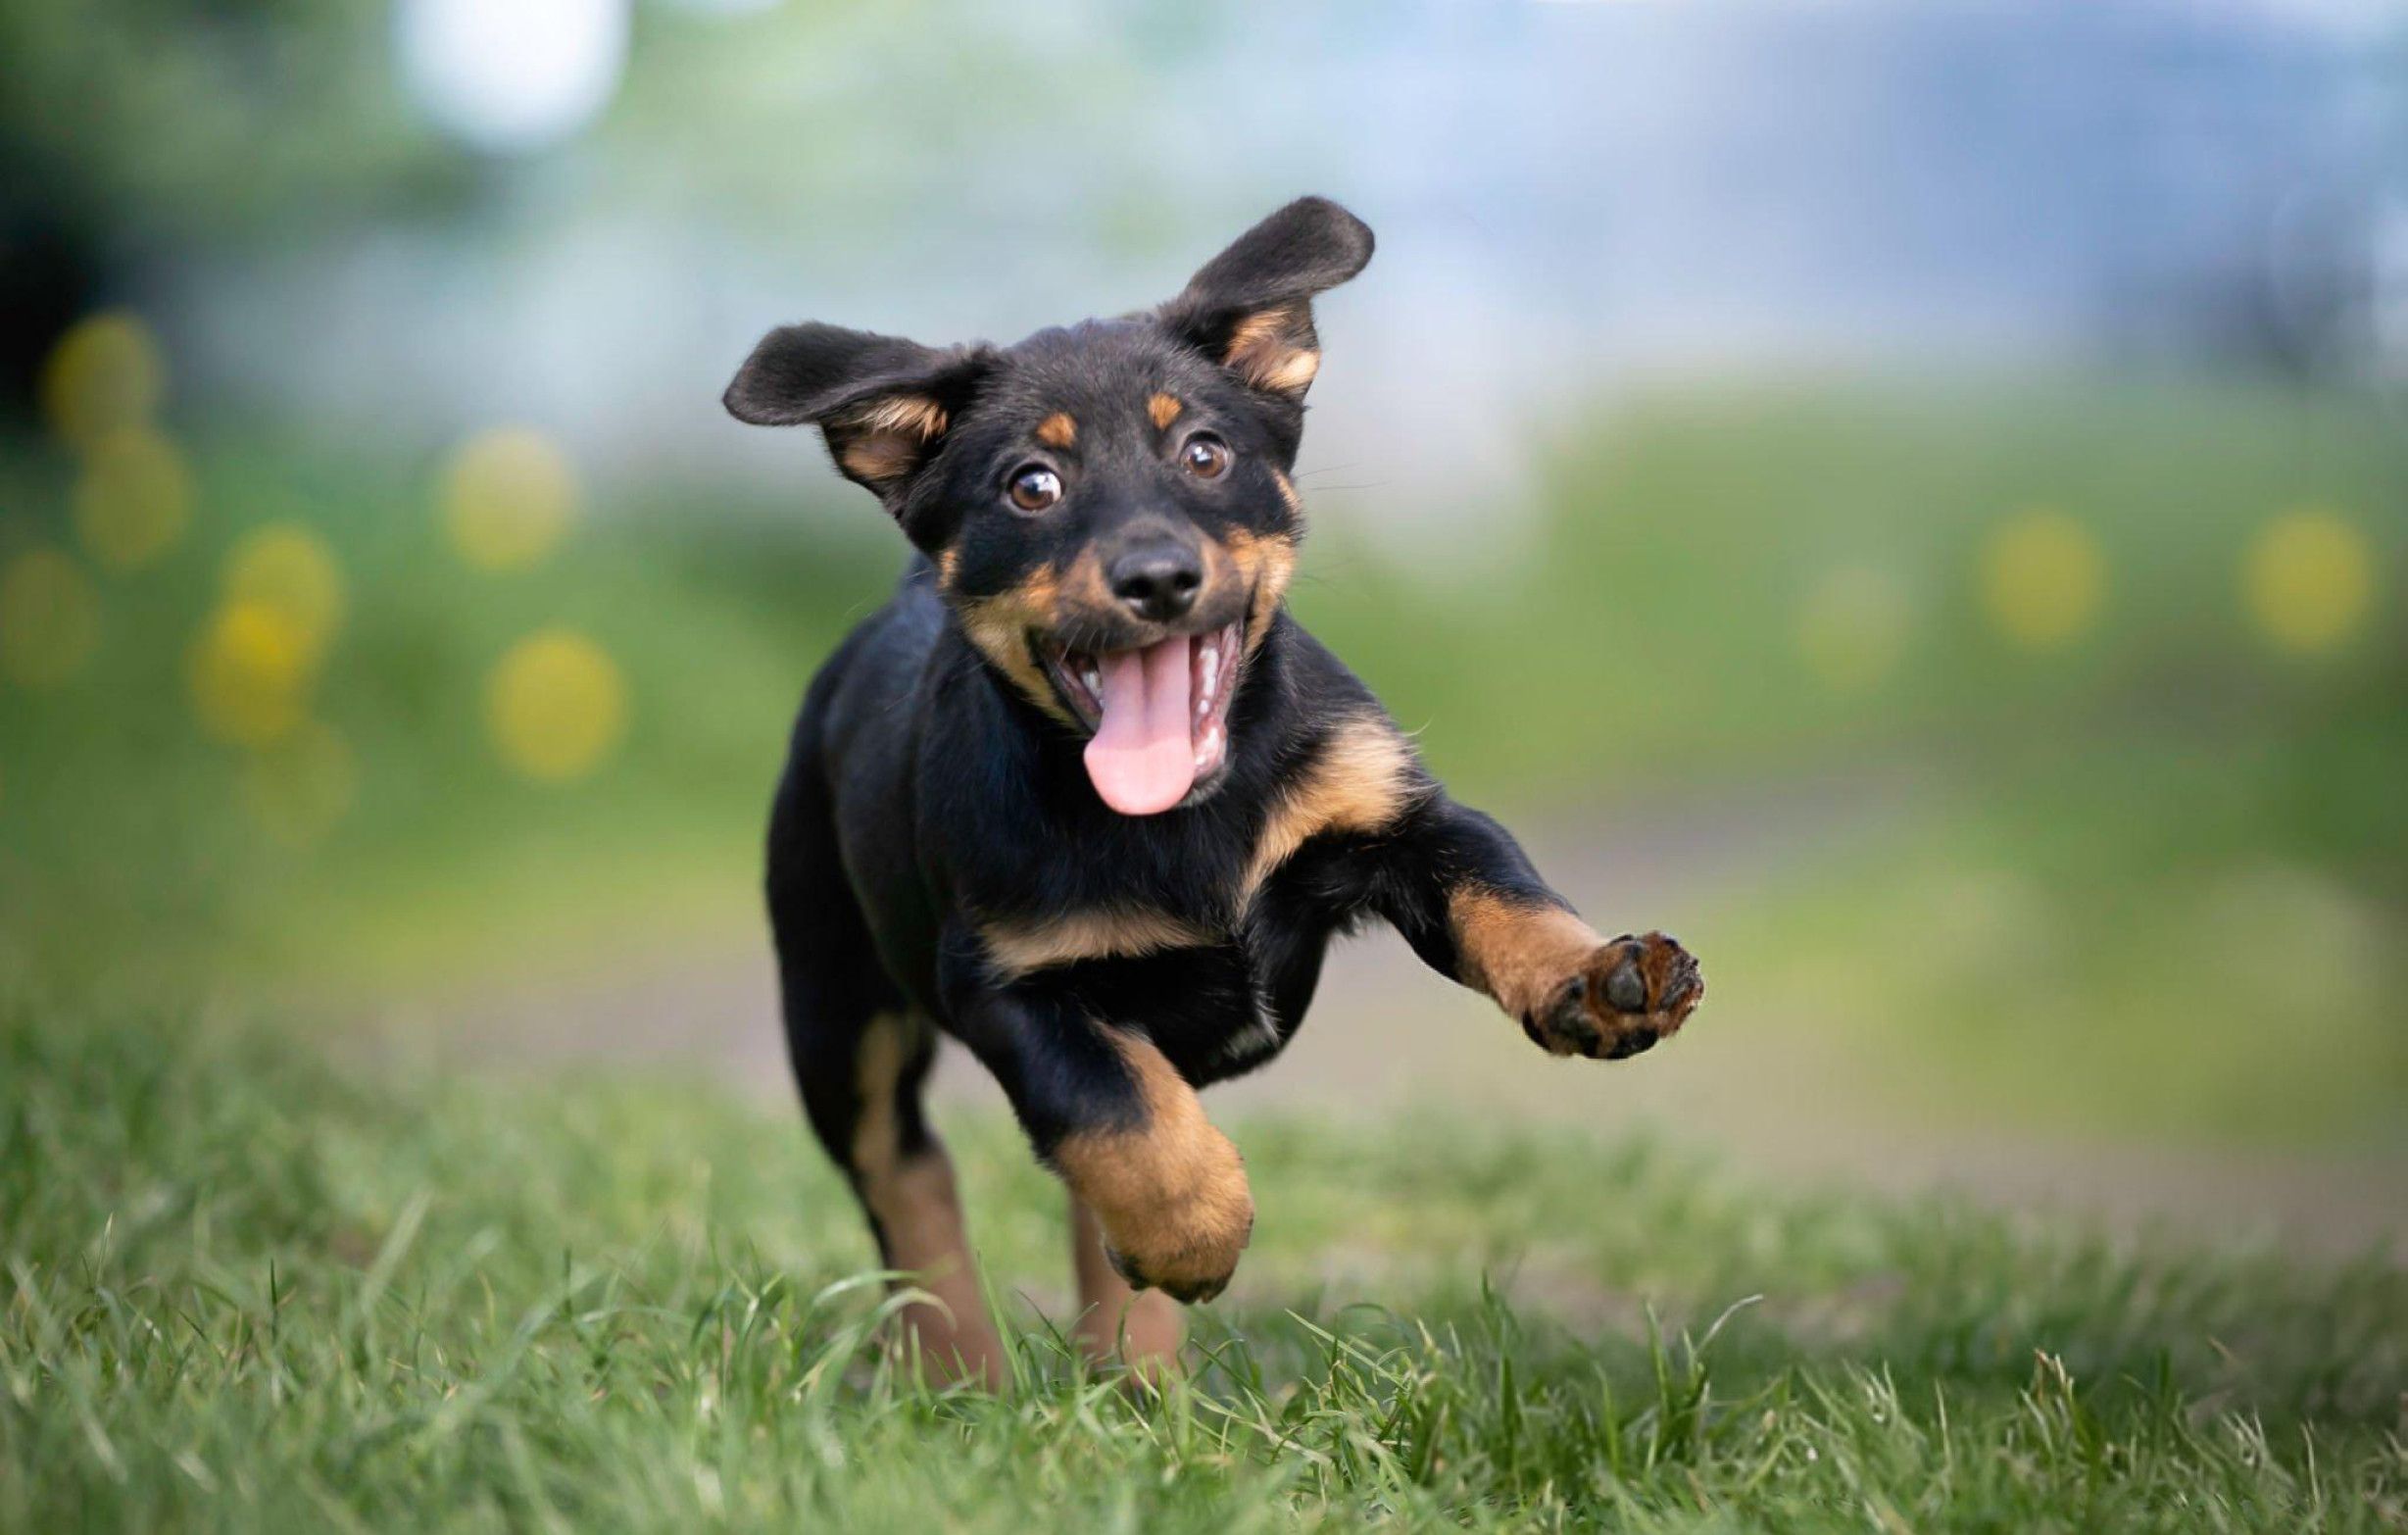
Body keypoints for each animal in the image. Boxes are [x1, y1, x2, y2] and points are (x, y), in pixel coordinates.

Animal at [722, 197, 1704, 1378]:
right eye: (1030, 485)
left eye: (1205, 452)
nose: (1156, 578)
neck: (1185, 815)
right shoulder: (1008, 980)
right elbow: (1114, 1112)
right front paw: (1195, 1233)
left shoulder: (1408, 822)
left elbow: (1507, 901)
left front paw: (1598, 979)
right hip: (832, 1000)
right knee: (905, 1176)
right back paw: (963, 1364)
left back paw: (1134, 1378)